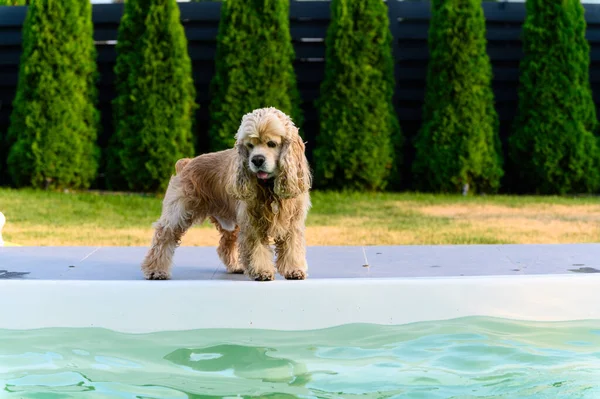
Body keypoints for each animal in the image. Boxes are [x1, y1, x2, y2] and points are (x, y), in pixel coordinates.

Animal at [139, 106, 312, 282]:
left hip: (230, 222)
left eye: (271, 144)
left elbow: (293, 247)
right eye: (250, 145)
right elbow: (257, 248)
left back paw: (236, 266)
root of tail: (186, 163)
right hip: (179, 211)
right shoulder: (251, 222)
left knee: (225, 244)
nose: (257, 160)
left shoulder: (293, 221)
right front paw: (261, 271)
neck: (269, 186)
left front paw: (294, 269)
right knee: (163, 236)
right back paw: (156, 270)